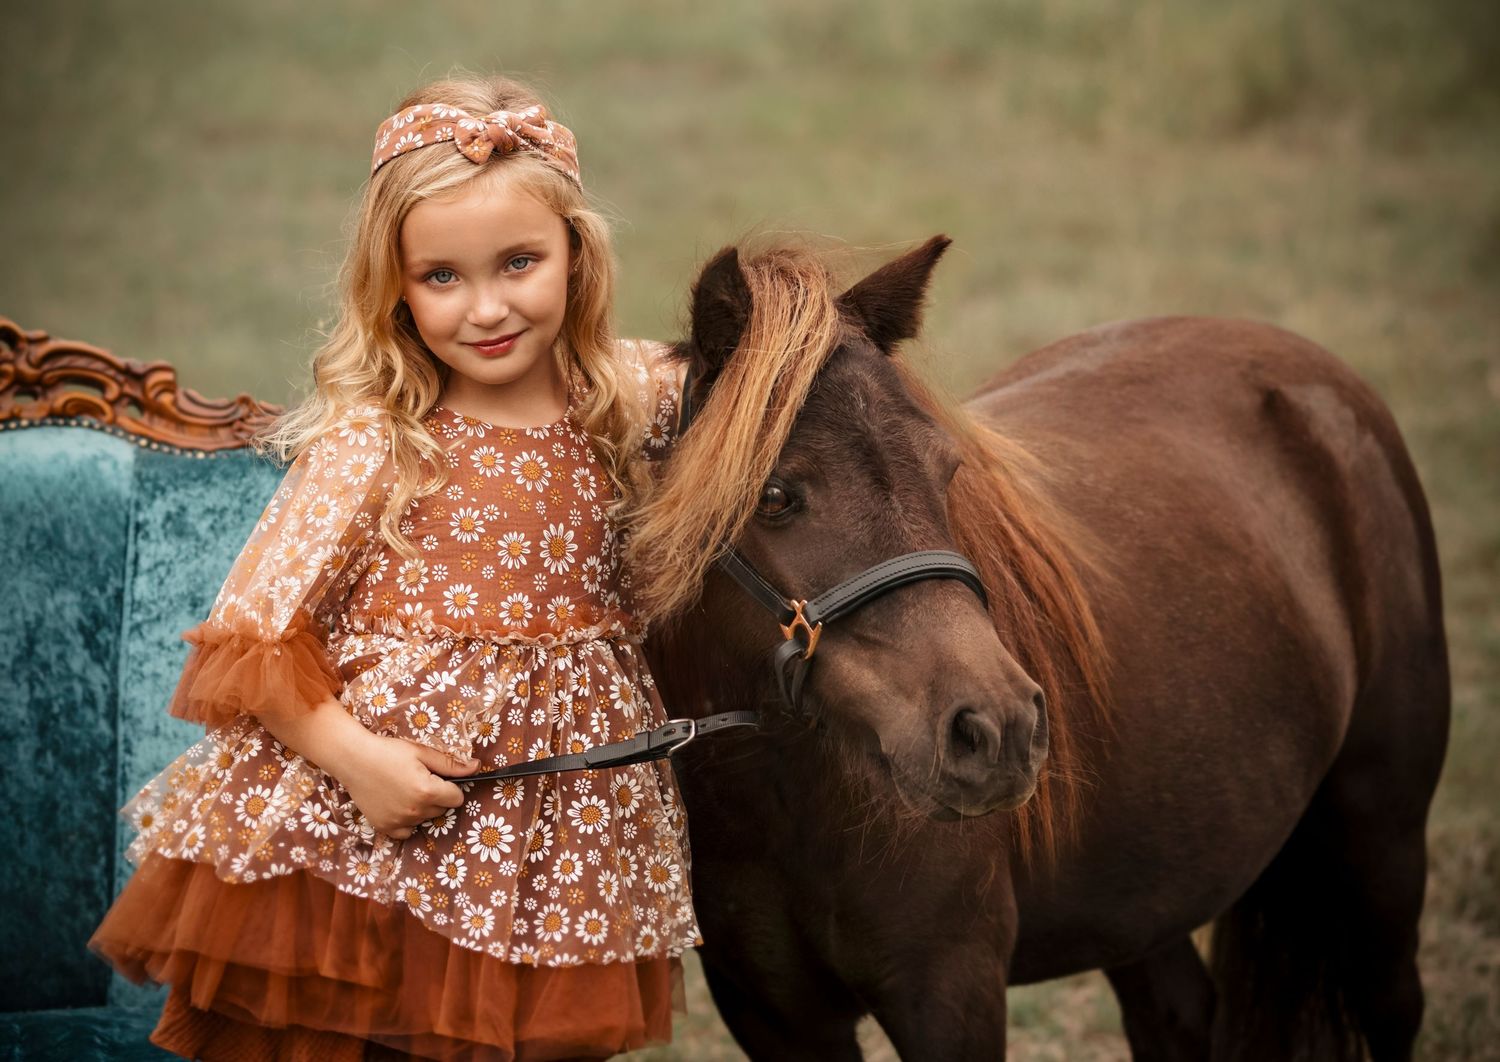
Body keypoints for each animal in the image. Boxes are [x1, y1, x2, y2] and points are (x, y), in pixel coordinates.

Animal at [630, 235, 1450, 1061]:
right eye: (773, 496)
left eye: (948, 470)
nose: (997, 730)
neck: (781, 797)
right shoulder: (776, 1015)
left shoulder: (950, 989)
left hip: (1379, 846)